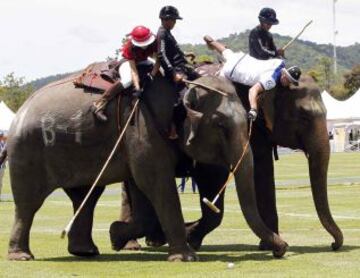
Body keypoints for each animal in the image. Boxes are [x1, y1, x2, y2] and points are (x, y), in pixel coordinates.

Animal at [4, 73, 286, 262]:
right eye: (219, 125)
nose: (281, 248)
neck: (182, 88)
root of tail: (20, 112)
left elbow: (143, 189)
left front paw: (115, 235)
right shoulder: (142, 128)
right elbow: (155, 182)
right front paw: (185, 257)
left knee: (85, 197)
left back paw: (86, 252)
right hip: (27, 152)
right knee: (29, 203)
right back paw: (22, 256)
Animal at [116, 75, 344, 253]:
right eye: (304, 117)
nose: (333, 245)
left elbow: (262, 172)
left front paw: (267, 245)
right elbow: (217, 174)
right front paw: (191, 236)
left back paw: (148, 240)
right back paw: (137, 243)